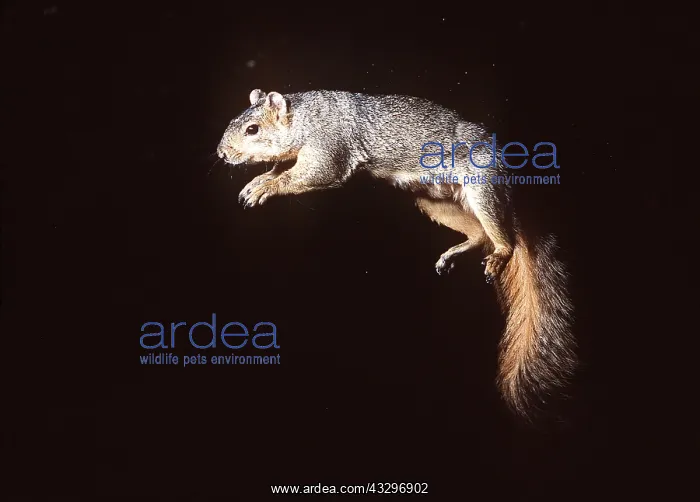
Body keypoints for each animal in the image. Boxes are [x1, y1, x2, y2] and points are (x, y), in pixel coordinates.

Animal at [216, 88, 576, 420]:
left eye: (252, 129)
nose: (221, 153)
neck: (305, 117)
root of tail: (507, 184)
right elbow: (281, 169)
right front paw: (261, 180)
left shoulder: (329, 144)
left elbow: (311, 173)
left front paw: (267, 186)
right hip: (435, 202)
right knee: (477, 234)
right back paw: (456, 251)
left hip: (481, 186)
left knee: (503, 238)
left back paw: (500, 253)